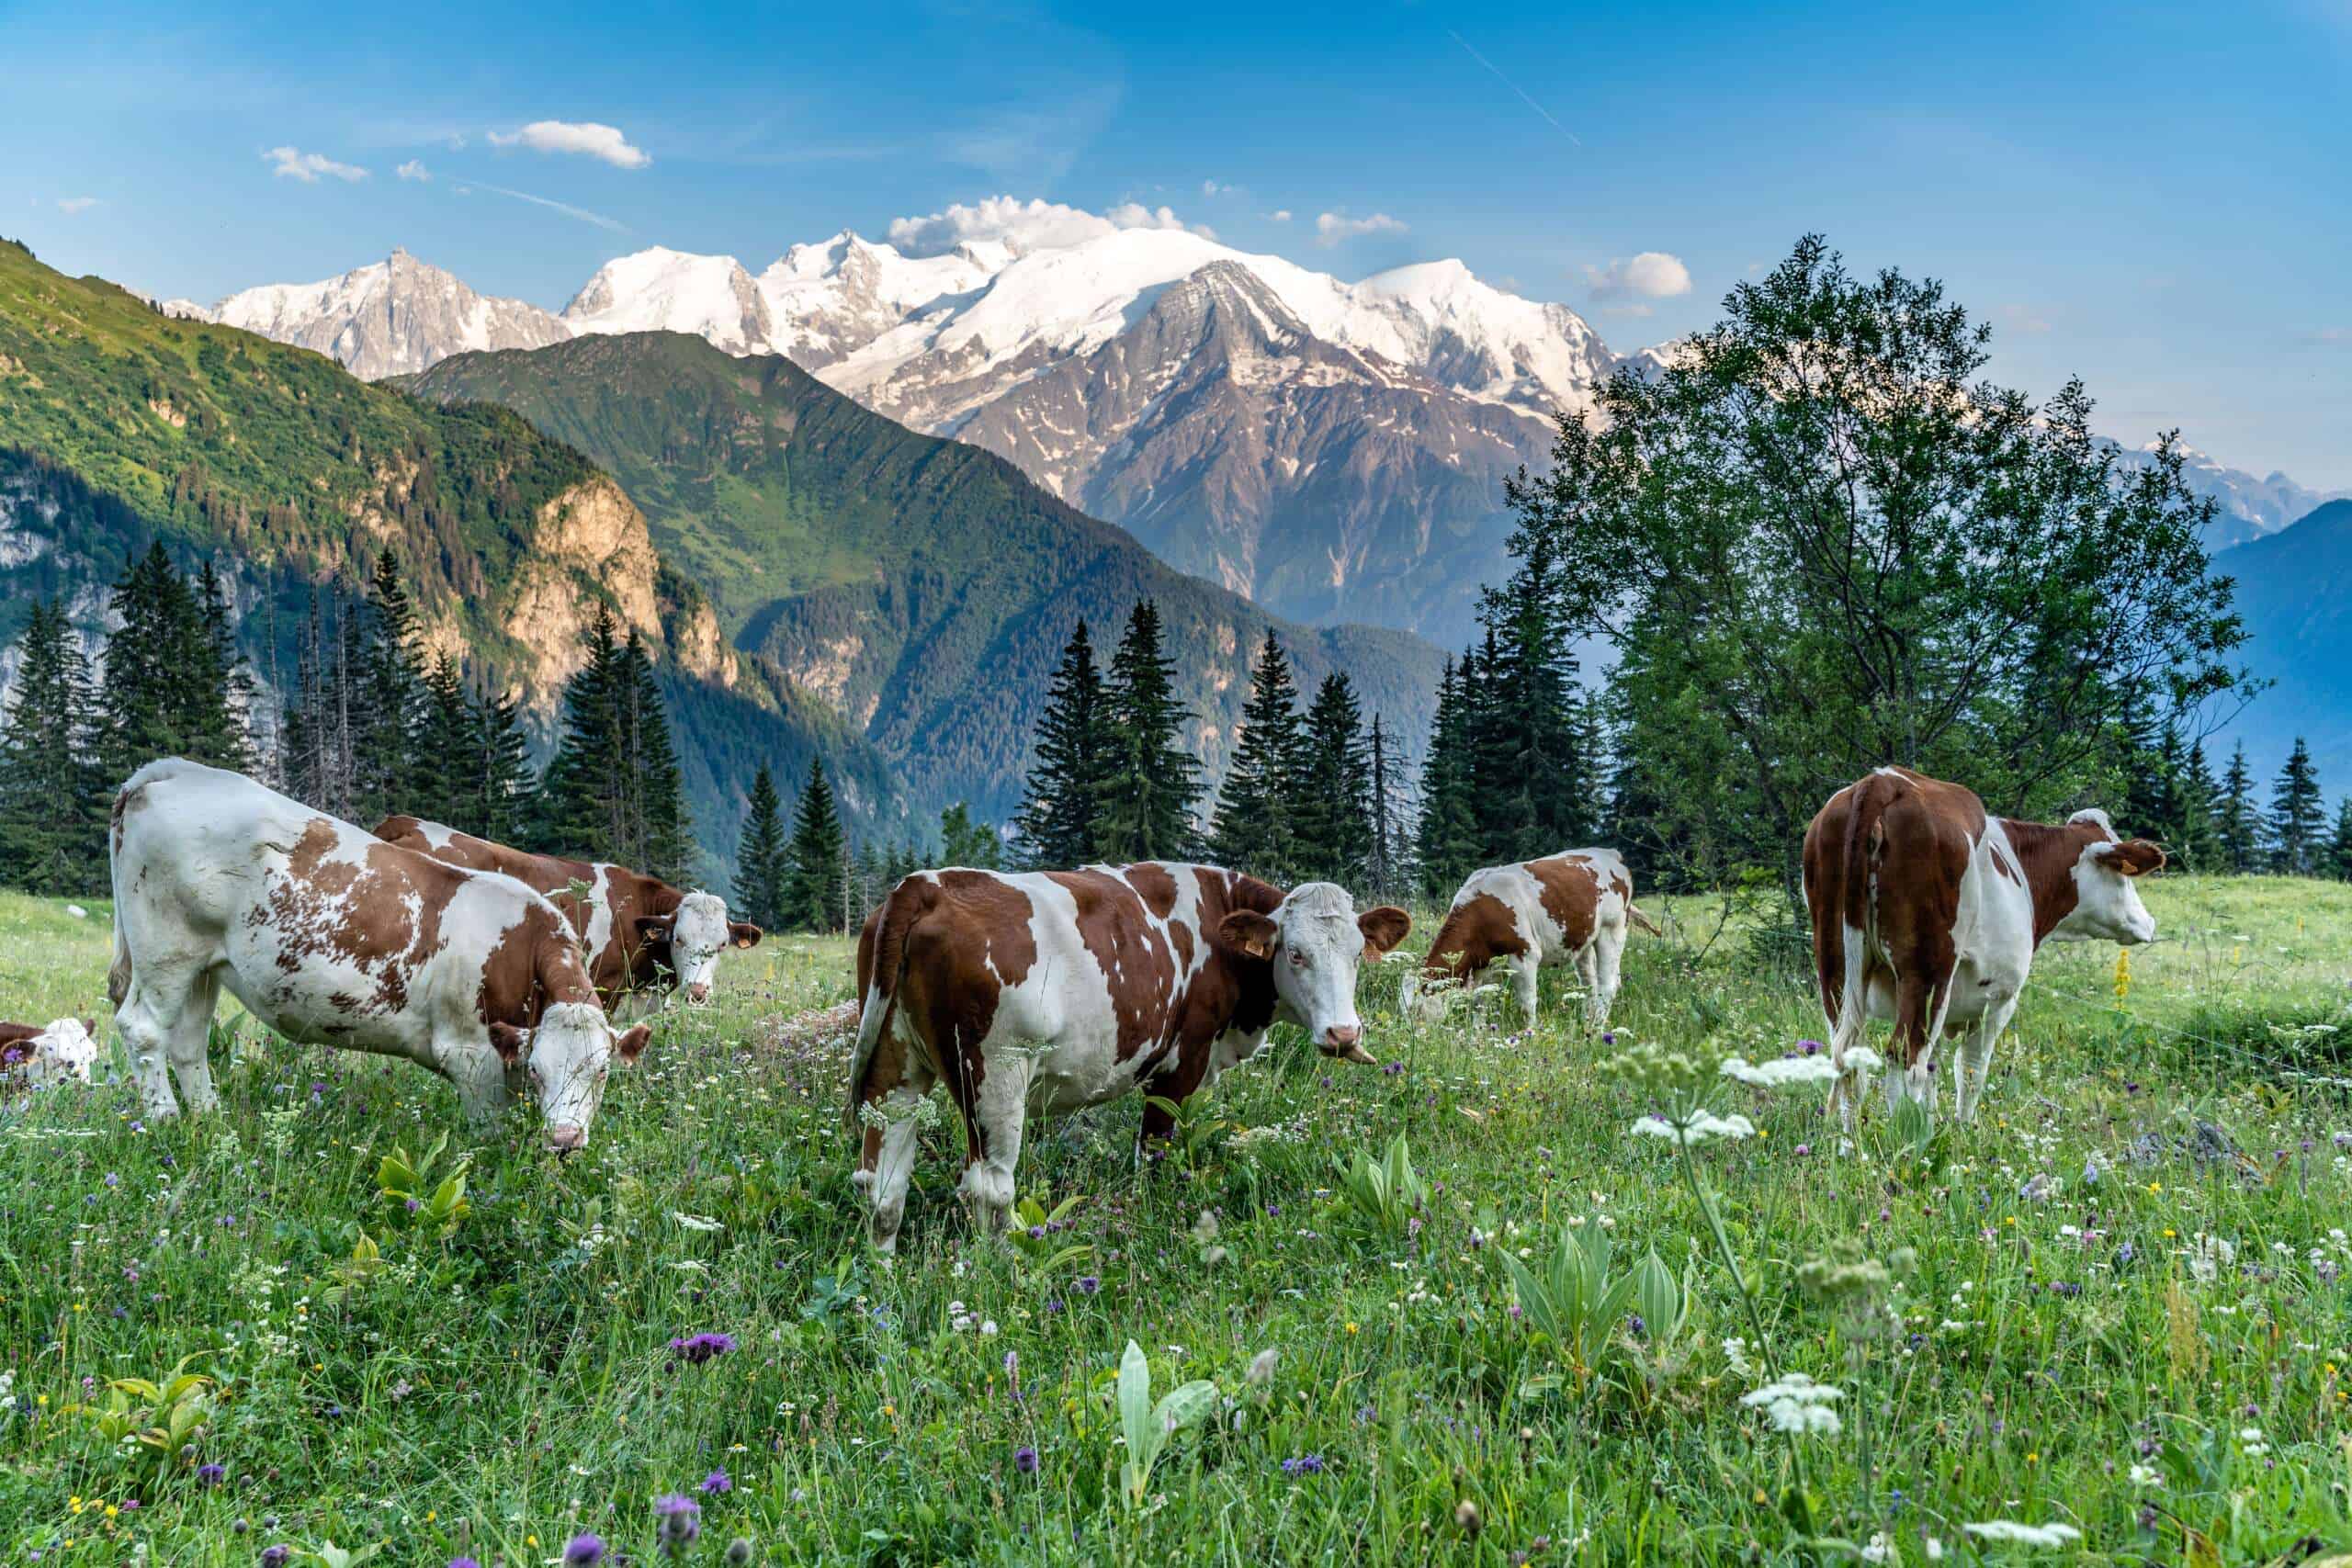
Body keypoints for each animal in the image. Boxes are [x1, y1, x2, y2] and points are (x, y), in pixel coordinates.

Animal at [113, 760, 648, 1150]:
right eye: (540, 1069)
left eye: (602, 1072)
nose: (566, 1139)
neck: (522, 949)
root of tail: (175, 770)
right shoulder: (470, 1055)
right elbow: (489, 1135)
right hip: (166, 950)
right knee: (143, 1029)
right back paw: (165, 1121)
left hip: (206, 964)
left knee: (188, 1042)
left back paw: (208, 1119)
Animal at [844, 864, 1411, 1251]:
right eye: (1295, 953)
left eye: (1357, 954)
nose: (1343, 1032)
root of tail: (927, 885)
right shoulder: (1182, 1060)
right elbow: (1153, 1155)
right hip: (995, 1074)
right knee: (989, 1189)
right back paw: (1004, 1270)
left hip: (894, 1068)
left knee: (882, 1185)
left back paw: (882, 1276)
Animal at [1403, 849, 1659, 1026]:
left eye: (1416, 1009)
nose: (1412, 1037)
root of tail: (1610, 854)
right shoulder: (1483, 967)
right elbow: (1480, 1005)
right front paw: (1476, 1037)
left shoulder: (1525, 956)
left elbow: (1527, 1005)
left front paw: (1529, 1036)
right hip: (1584, 939)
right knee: (1590, 984)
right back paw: (1586, 1022)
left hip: (1612, 929)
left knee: (1608, 985)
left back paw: (1596, 1030)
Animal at [1803, 766, 2163, 1129]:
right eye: (2124, 877)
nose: (2149, 922)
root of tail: (1882, 780)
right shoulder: (1998, 999)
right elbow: (1971, 1071)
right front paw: (1962, 1132)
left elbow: (1936, 1070)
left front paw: (1932, 1127)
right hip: (1926, 974)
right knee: (1907, 1059)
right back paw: (1903, 1139)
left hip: (1834, 965)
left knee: (1851, 1059)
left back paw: (1853, 1141)